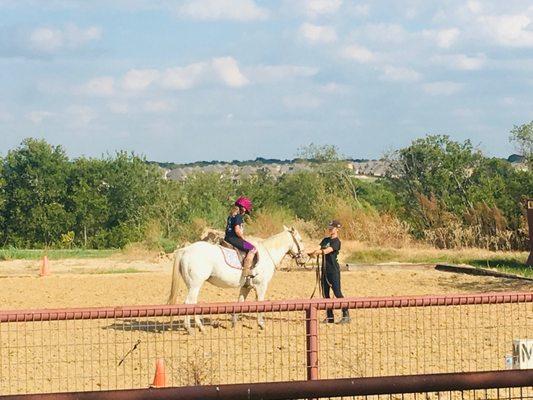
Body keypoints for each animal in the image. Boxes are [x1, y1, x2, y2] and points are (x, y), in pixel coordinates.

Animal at [168, 227, 306, 332]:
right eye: (300, 240)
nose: (303, 259)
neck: (267, 254)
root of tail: (185, 249)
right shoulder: (261, 286)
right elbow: (260, 303)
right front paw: (261, 324)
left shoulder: (246, 287)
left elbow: (240, 303)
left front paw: (234, 323)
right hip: (195, 285)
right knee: (189, 303)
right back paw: (191, 328)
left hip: (192, 285)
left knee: (192, 303)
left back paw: (196, 327)